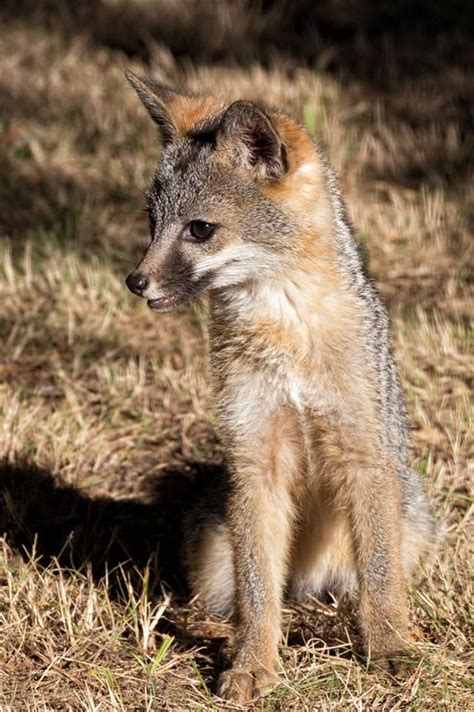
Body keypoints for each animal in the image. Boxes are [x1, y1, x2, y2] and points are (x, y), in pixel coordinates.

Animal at [124, 72, 436, 700]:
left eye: (200, 229)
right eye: (151, 223)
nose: (135, 282)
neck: (286, 335)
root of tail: (307, 579)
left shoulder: (362, 453)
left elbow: (381, 581)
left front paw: (390, 648)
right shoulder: (255, 456)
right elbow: (257, 591)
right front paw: (253, 663)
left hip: (407, 519)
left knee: (356, 584)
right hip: (214, 547)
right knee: (243, 596)